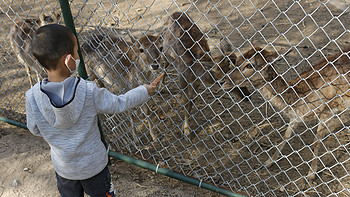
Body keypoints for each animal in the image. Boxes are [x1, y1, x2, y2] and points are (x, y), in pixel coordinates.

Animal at [224, 45, 350, 180]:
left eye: (250, 65)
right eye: (236, 60)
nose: (223, 82)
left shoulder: (328, 111)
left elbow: (316, 141)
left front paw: (311, 173)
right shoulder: (296, 116)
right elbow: (286, 135)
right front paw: (268, 162)